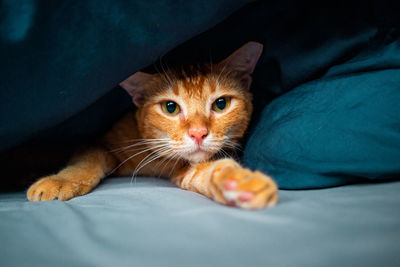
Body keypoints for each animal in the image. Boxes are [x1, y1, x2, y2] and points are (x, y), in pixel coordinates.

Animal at [27, 41, 278, 209]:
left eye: (221, 104)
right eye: (170, 107)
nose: (198, 133)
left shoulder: (182, 167)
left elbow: (208, 171)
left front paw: (240, 183)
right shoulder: (97, 142)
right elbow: (89, 159)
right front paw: (60, 181)